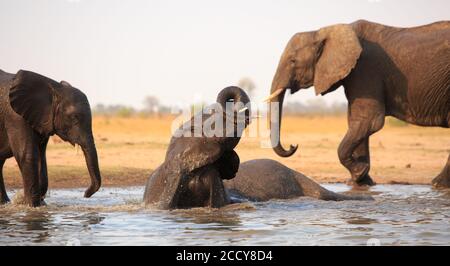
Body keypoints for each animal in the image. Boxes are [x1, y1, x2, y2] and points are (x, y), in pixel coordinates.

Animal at [0, 69, 102, 207]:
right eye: (74, 118)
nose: (85, 194)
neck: (53, 88)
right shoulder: (15, 116)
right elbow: (28, 155)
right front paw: (32, 206)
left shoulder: (42, 119)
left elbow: (41, 157)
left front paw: (39, 204)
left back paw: (4, 203)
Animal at [266, 19, 448, 188]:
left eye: (292, 61)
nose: (293, 145)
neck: (323, 32)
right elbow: (356, 121)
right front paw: (361, 182)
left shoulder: (365, 69)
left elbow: (370, 121)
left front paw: (359, 173)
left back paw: (437, 184)